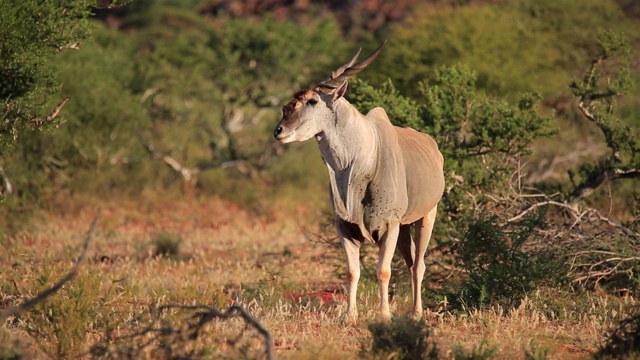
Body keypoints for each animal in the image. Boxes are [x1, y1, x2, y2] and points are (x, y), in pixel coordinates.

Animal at [274, 42, 444, 320]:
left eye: (312, 101)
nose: (279, 131)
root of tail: (434, 147)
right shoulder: (345, 227)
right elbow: (352, 272)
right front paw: (349, 315)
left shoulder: (389, 224)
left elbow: (383, 271)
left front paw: (384, 315)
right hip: (404, 227)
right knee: (410, 264)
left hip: (427, 215)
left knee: (419, 265)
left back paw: (416, 313)